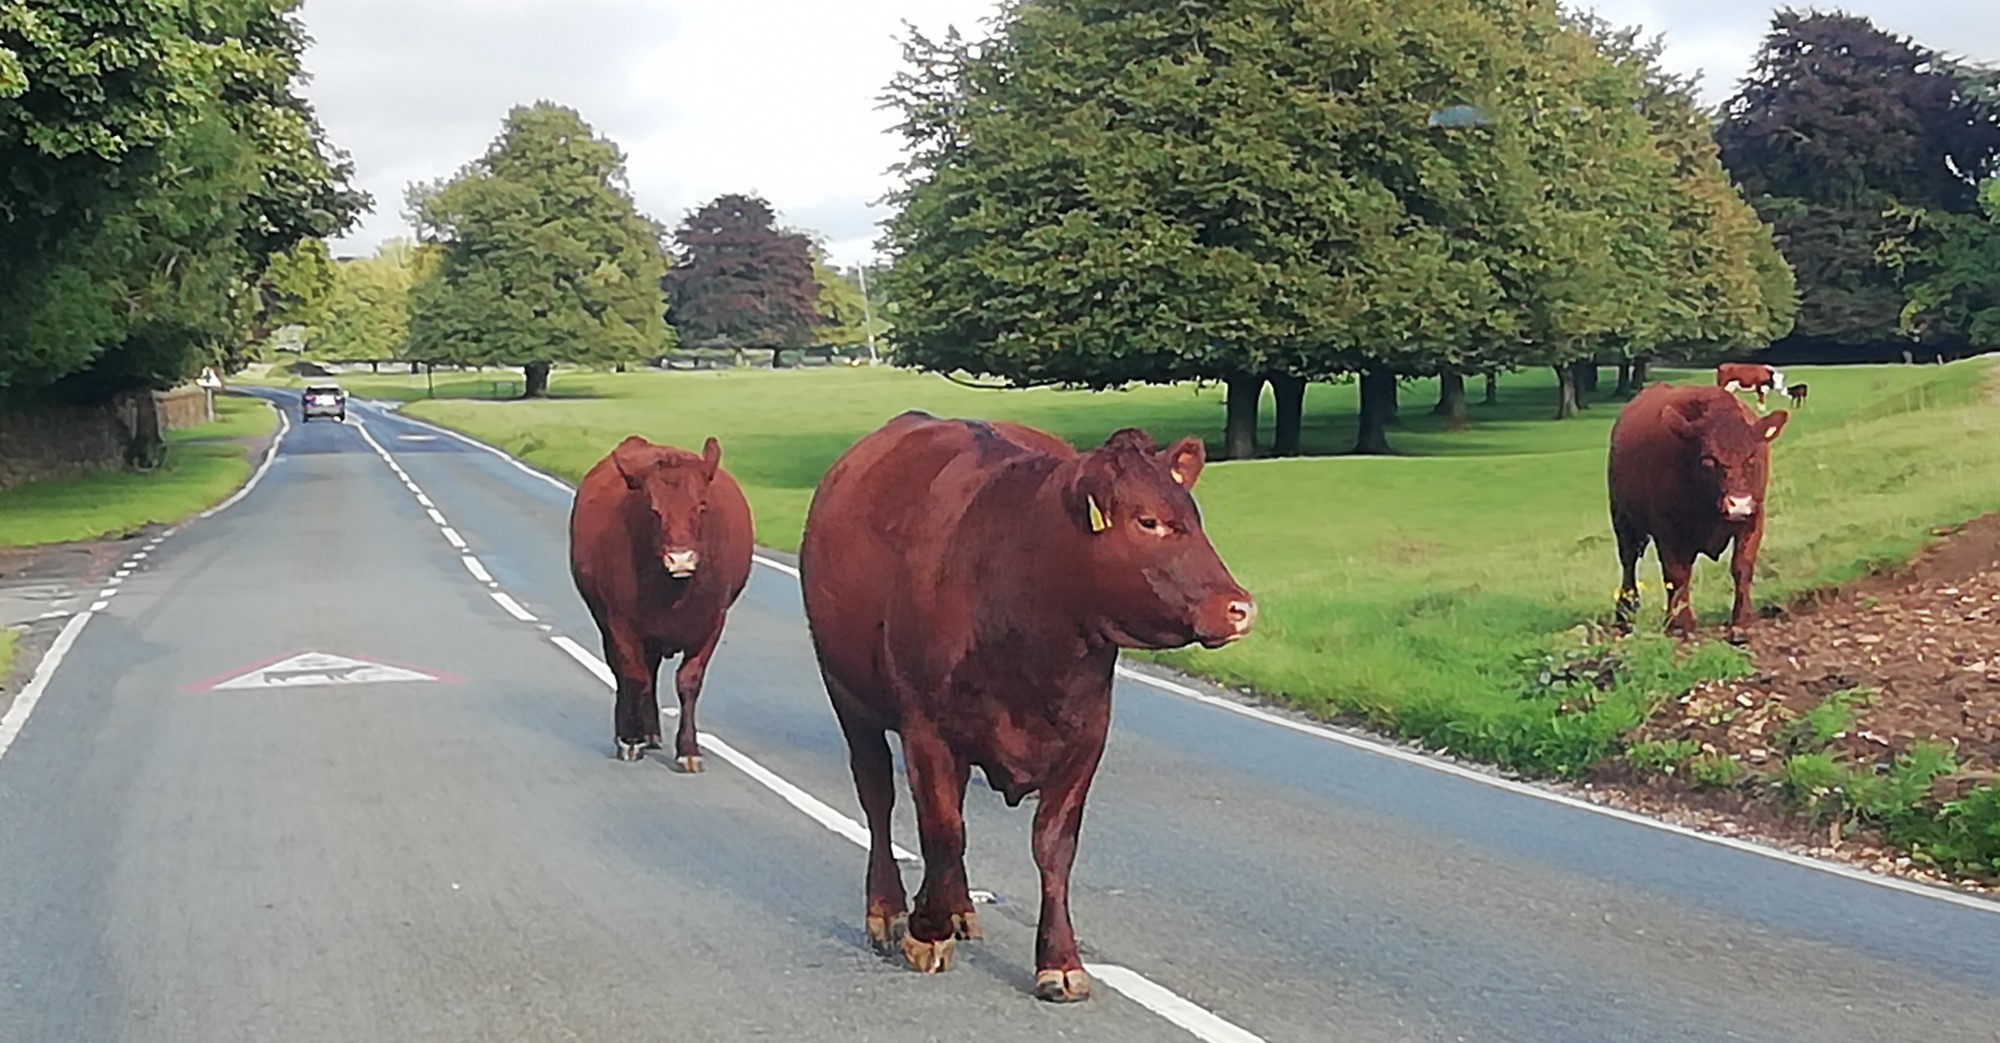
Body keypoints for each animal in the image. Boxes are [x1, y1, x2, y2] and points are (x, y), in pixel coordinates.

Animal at [568, 429, 752, 763]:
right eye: (654, 510)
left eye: (701, 506)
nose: (680, 559)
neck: (672, 593)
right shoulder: (620, 623)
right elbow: (634, 677)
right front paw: (630, 738)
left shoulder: (712, 622)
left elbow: (689, 681)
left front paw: (688, 749)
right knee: (627, 674)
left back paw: (652, 732)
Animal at [792, 409, 1248, 1003]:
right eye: (1147, 521)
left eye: (1195, 516)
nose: (1239, 608)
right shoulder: (926, 728)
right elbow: (942, 830)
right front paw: (925, 929)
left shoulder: (1086, 735)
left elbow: (1052, 846)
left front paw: (1059, 961)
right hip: (849, 695)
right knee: (878, 797)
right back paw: (887, 911)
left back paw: (960, 908)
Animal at [1608, 383, 1800, 635]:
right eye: (1709, 460)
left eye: (1751, 458)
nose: (1738, 503)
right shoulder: (1668, 530)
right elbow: (1676, 575)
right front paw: (1681, 623)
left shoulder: (1753, 519)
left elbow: (1742, 567)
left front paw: (1742, 618)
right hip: (1623, 519)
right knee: (1628, 563)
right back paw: (1624, 614)